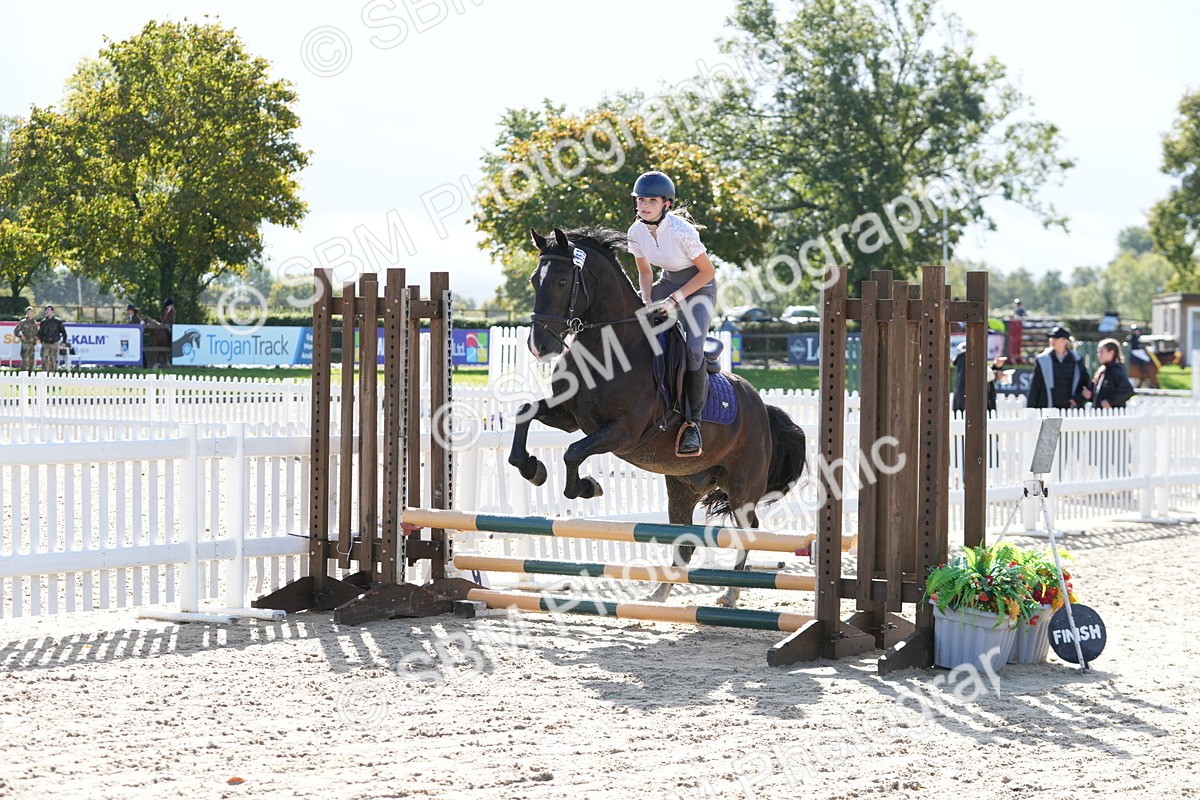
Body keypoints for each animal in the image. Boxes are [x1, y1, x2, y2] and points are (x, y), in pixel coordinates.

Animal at [507, 226, 808, 607]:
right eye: (535, 280)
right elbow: (525, 414)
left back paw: (729, 593)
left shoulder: (623, 432)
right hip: (682, 486)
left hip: (743, 487)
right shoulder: (569, 418)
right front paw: (532, 469)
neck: (606, 346)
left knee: (747, 531)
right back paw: (660, 593)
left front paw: (587, 487)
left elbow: (573, 453)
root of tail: (761, 406)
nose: (540, 346)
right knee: (686, 541)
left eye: (562, 281)